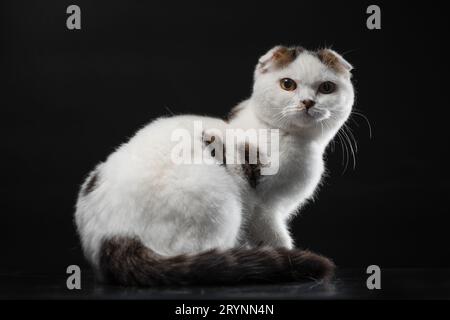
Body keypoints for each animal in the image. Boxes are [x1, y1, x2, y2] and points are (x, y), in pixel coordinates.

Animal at [74, 44, 356, 284]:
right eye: (288, 84)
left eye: (327, 88)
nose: (308, 102)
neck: (289, 136)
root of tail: (111, 236)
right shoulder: (263, 209)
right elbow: (277, 239)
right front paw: (284, 253)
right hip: (220, 200)